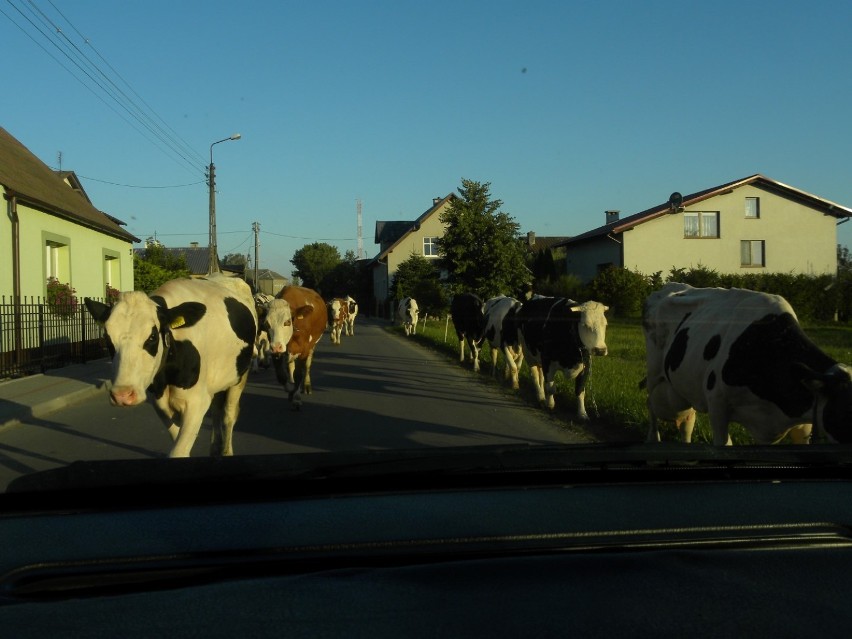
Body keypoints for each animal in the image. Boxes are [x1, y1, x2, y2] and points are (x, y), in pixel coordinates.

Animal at [83, 272, 258, 458]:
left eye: (152, 337)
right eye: (107, 338)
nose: (123, 395)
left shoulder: (196, 403)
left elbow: (179, 451)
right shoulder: (159, 403)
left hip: (240, 375)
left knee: (228, 414)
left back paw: (226, 451)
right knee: (217, 410)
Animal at [644, 282, 848, 448]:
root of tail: (668, 287)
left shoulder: (802, 422)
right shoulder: (717, 403)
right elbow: (724, 443)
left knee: (686, 422)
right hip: (654, 374)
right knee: (651, 408)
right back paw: (654, 440)